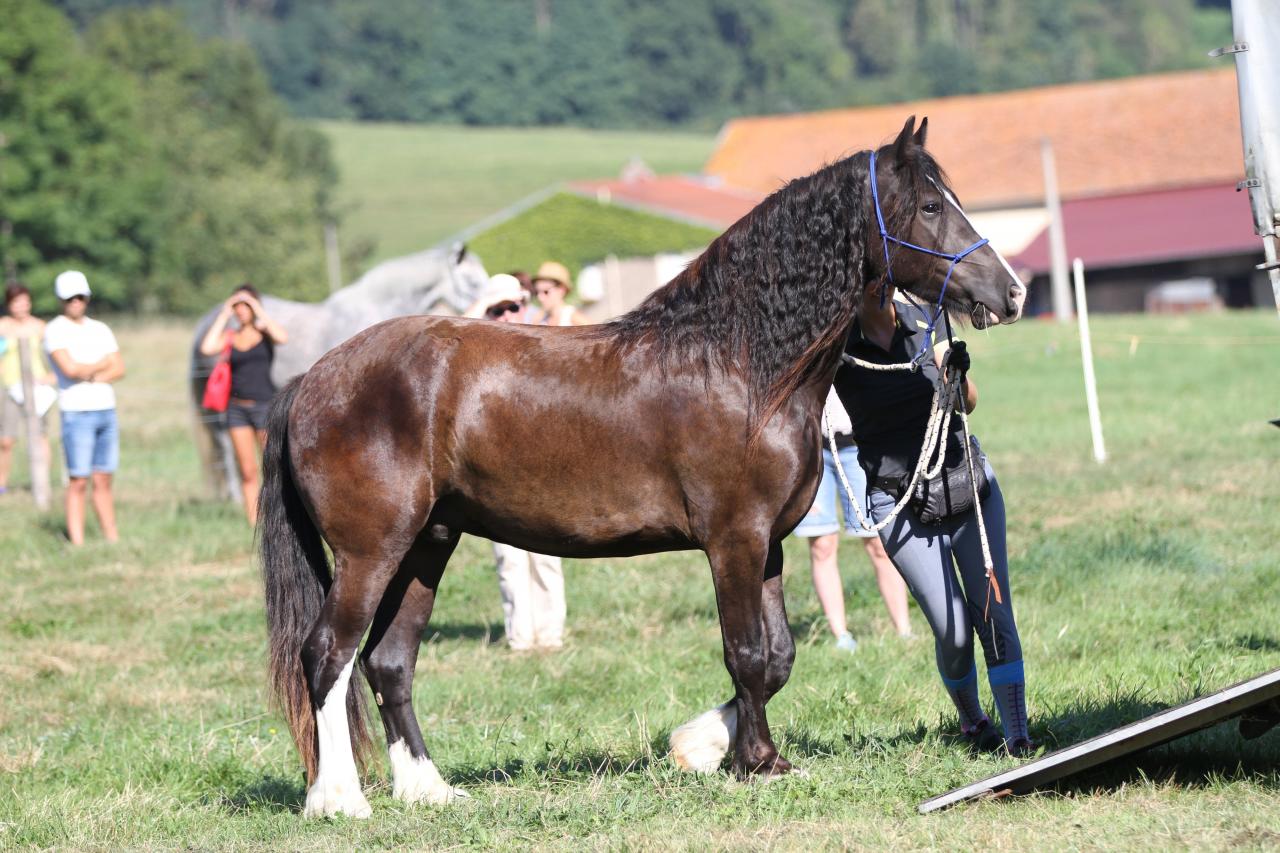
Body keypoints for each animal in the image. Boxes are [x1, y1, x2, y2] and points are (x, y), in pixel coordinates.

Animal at [259, 116, 1029, 814]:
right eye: (929, 207)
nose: (1012, 292)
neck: (739, 362)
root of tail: (311, 379)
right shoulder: (733, 541)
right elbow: (747, 652)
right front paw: (752, 762)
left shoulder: (769, 542)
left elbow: (777, 656)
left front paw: (711, 746)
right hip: (372, 552)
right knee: (327, 653)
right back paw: (337, 800)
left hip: (428, 544)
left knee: (389, 660)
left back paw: (428, 790)